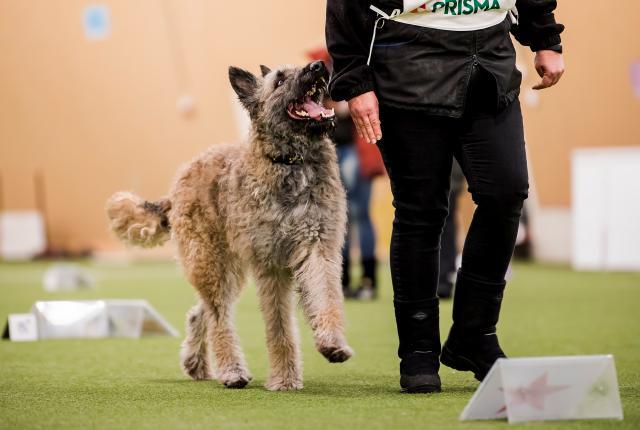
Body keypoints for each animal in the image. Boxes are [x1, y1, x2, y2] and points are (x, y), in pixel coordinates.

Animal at [107, 62, 352, 392]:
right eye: (279, 80)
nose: (317, 66)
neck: (291, 161)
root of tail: (178, 184)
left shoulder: (318, 247)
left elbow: (326, 298)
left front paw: (332, 343)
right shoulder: (270, 264)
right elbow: (278, 327)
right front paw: (284, 379)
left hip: (229, 269)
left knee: (202, 313)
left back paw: (196, 363)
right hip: (211, 262)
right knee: (218, 318)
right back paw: (231, 371)